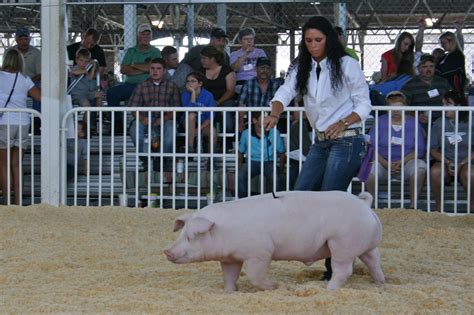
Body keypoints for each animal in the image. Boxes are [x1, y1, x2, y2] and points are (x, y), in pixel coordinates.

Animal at [164, 191, 386, 292]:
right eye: (180, 234)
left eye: (191, 237)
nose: (168, 252)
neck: (224, 230)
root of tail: (365, 205)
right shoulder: (230, 258)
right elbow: (229, 275)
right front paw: (230, 292)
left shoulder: (260, 252)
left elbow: (254, 275)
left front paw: (275, 286)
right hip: (366, 244)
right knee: (374, 260)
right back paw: (381, 282)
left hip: (342, 244)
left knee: (343, 269)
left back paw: (329, 289)